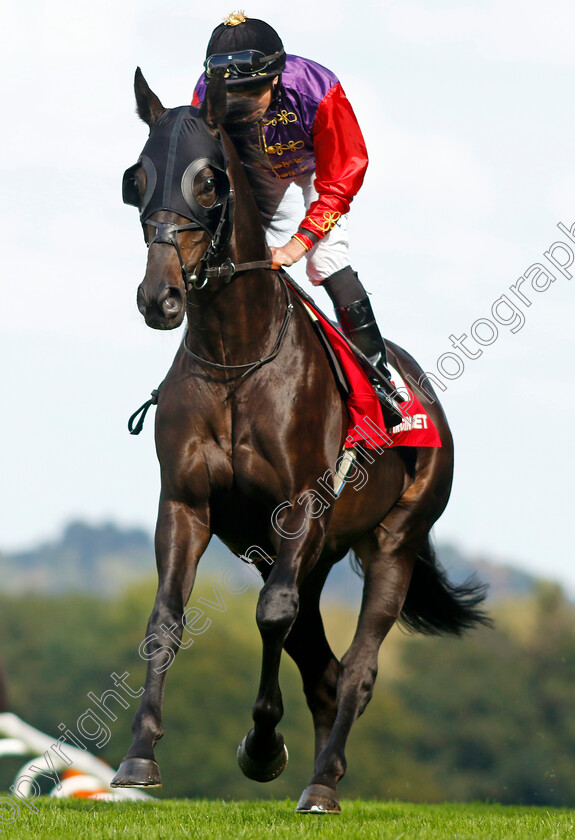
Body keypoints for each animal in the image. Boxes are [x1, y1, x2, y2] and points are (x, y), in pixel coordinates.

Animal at [113, 72, 490, 812]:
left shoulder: (299, 508)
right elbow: (165, 620)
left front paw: (262, 747)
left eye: (209, 181)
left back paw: (322, 781)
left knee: (358, 669)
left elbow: (270, 616)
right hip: (308, 555)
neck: (237, 355)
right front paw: (139, 758)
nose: (158, 299)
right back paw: (319, 767)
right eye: (135, 179)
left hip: (393, 543)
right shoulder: (186, 505)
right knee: (323, 667)